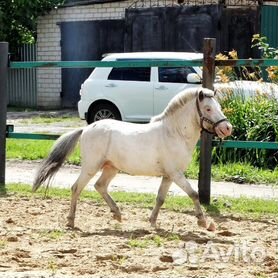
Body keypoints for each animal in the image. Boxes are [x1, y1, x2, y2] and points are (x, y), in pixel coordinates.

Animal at [33, 88, 232, 229]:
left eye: (219, 108)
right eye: (208, 108)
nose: (227, 128)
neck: (174, 133)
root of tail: (87, 128)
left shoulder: (168, 176)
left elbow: (160, 198)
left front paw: (152, 222)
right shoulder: (176, 174)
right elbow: (193, 193)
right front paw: (202, 222)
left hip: (111, 167)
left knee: (100, 186)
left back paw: (117, 214)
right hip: (91, 166)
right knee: (76, 188)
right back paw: (71, 221)